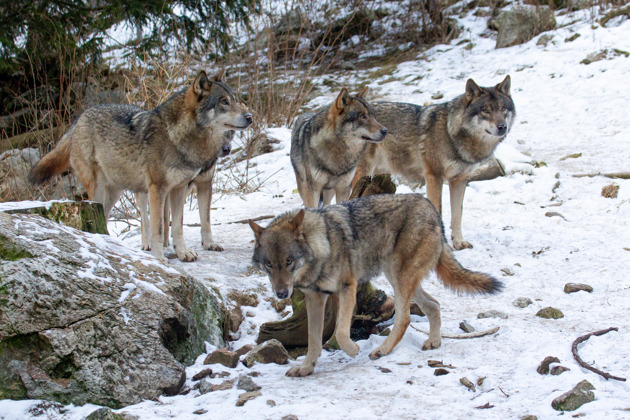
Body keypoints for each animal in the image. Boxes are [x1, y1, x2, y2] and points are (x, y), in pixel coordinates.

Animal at [28, 71, 252, 262]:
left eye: (235, 100)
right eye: (224, 102)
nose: (250, 116)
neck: (179, 137)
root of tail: (79, 118)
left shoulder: (180, 189)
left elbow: (178, 226)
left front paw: (183, 253)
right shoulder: (158, 188)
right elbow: (159, 227)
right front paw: (159, 258)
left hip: (114, 193)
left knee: (106, 218)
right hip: (101, 191)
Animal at [251, 194, 504, 378]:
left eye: (289, 261)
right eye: (269, 264)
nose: (281, 293)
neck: (322, 244)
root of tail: (431, 207)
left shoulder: (348, 287)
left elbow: (340, 332)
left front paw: (353, 350)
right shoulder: (315, 298)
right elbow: (313, 339)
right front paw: (306, 368)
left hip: (399, 279)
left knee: (405, 318)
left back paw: (382, 350)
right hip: (398, 278)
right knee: (434, 304)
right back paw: (433, 341)